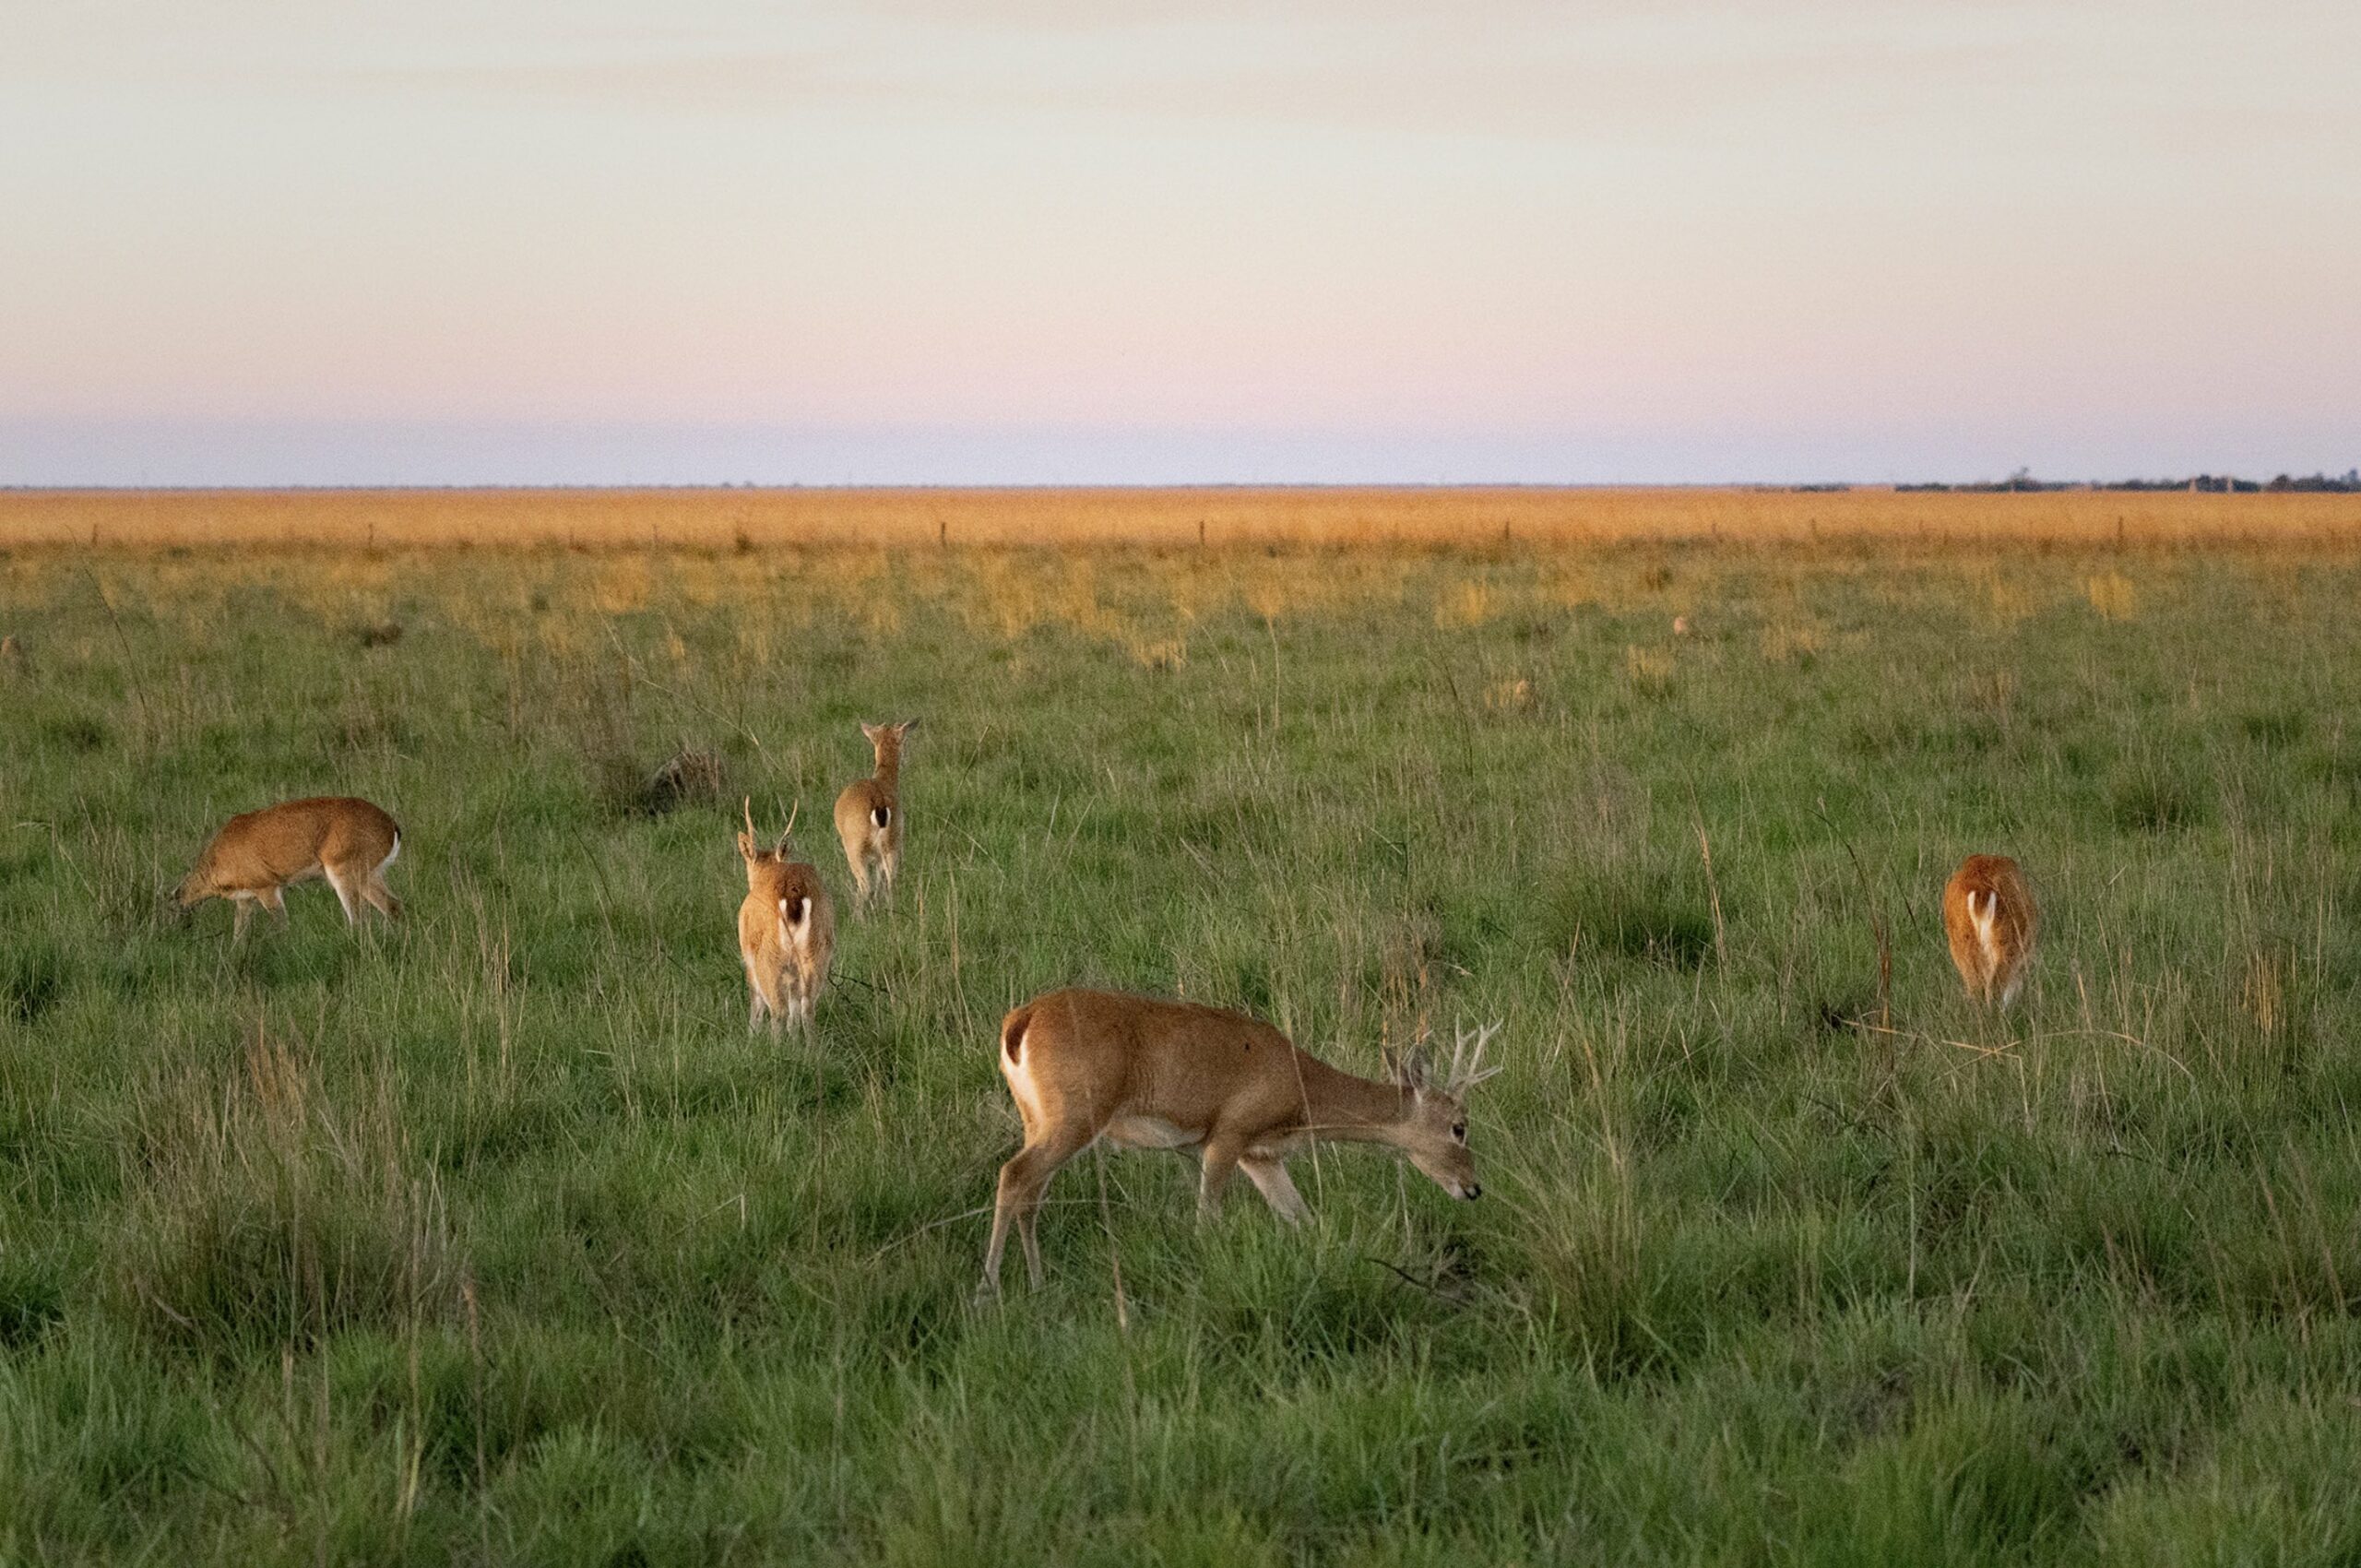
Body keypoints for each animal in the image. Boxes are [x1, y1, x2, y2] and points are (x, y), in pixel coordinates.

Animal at [174, 802, 403, 934]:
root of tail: (391, 825)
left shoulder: (267, 888)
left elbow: (282, 924)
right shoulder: (245, 900)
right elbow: (238, 934)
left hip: (343, 874)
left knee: (358, 918)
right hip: (370, 875)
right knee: (393, 905)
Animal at [731, 802, 836, 1034]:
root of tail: (793, 893)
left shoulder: (747, 955)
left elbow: (757, 1002)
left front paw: (751, 1035)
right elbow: (794, 1010)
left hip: (768, 954)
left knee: (777, 1009)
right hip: (817, 949)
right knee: (807, 1007)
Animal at [836, 718, 916, 907]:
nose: (906, 759)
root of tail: (879, 804)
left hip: (855, 848)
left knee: (866, 887)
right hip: (892, 844)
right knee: (890, 882)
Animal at [981, 992, 1501, 1294]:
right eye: (1459, 1126)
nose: (1473, 1187)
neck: (1299, 1087)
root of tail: (1020, 1021)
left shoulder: (1260, 1155)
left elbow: (1301, 1217)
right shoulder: (1227, 1134)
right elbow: (1207, 1220)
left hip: (1038, 1118)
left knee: (1032, 1191)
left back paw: (1037, 1284)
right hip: (1075, 1115)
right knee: (1014, 1175)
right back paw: (987, 1291)